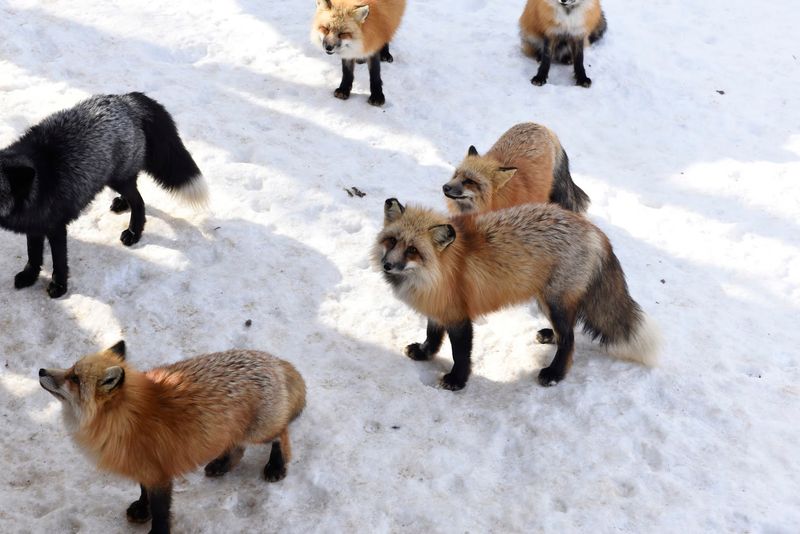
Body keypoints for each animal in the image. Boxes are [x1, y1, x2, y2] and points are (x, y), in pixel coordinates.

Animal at [0, 92, 207, 298]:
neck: (38, 184)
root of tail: (127, 100)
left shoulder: (56, 228)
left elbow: (59, 262)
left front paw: (59, 286)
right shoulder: (34, 225)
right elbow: (33, 255)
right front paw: (29, 276)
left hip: (118, 179)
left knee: (139, 201)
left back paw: (134, 232)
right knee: (135, 192)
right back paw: (123, 204)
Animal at [38, 341, 306, 534]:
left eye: (74, 378)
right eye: (70, 368)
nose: (41, 370)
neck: (126, 418)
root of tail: (271, 359)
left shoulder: (160, 476)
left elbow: (161, 512)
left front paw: (156, 531)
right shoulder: (146, 468)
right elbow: (143, 492)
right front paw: (141, 510)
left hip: (259, 431)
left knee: (281, 434)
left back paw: (276, 465)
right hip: (234, 431)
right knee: (238, 449)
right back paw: (221, 465)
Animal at [374, 198, 660, 390]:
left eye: (412, 250)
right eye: (392, 241)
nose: (386, 265)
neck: (439, 271)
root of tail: (595, 230)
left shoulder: (459, 317)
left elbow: (460, 354)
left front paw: (457, 380)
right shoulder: (438, 309)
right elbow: (432, 337)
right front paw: (424, 353)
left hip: (554, 302)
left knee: (569, 340)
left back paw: (555, 373)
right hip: (546, 301)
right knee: (568, 330)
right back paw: (550, 336)